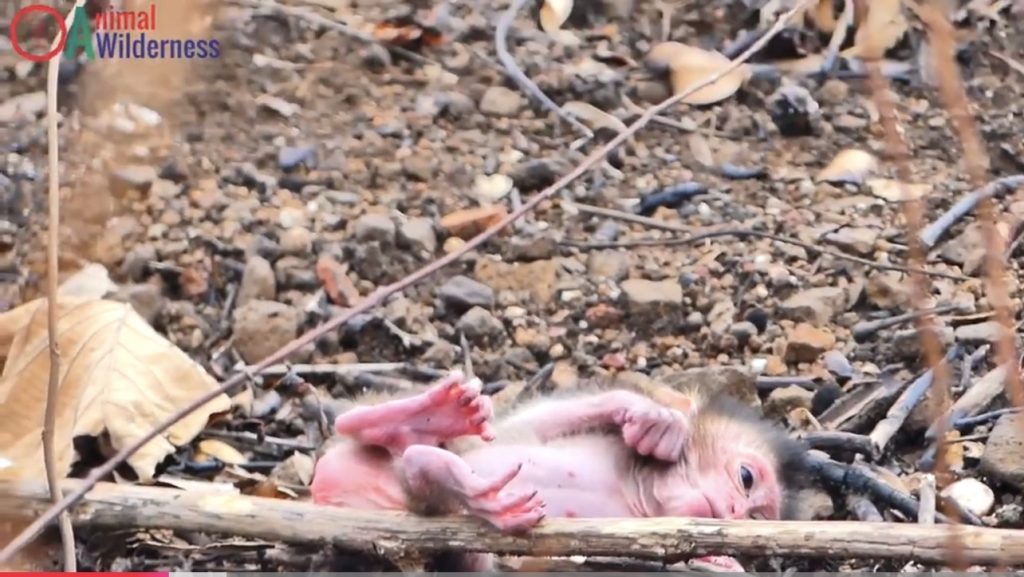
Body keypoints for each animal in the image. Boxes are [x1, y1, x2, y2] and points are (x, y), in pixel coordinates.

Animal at [310, 370, 807, 570]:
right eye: (746, 479)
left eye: (757, 519)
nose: (734, 513)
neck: (634, 494)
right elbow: (539, 422)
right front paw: (657, 422)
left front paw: (720, 559)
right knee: (355, 427)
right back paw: (425, 418)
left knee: (420, 475)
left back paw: (450, 476)